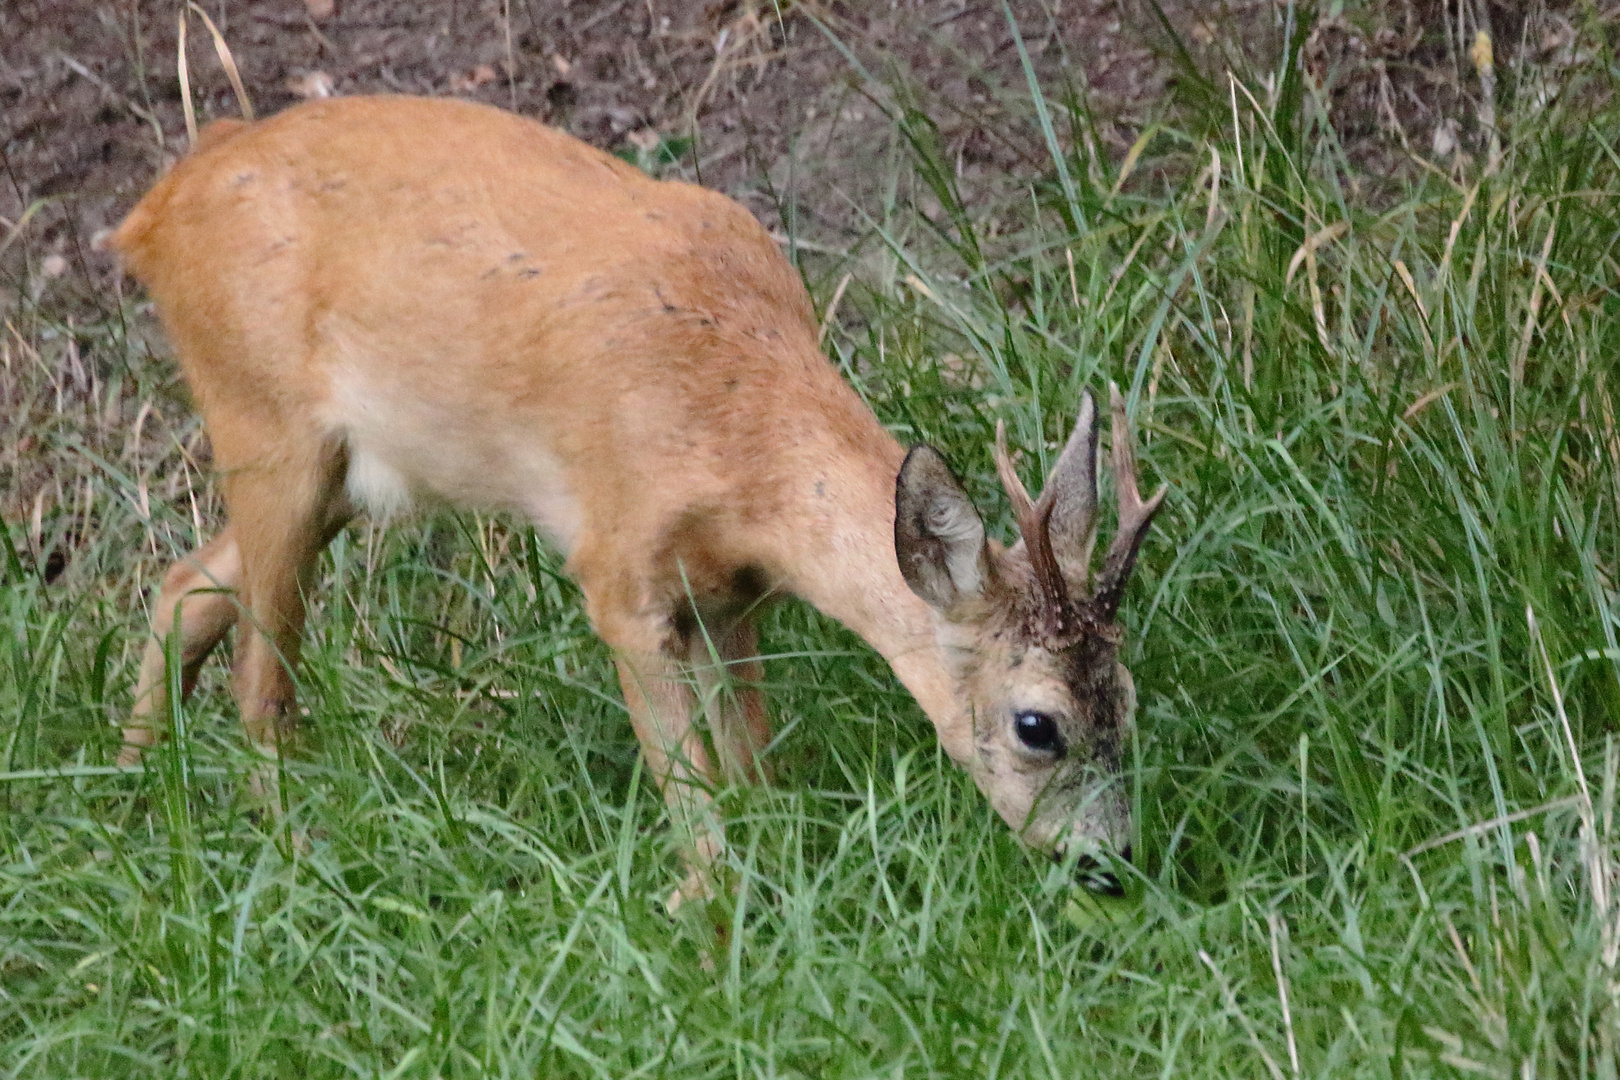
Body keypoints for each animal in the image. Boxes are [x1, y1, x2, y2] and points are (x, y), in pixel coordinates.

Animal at [114, 97, 1166, 906]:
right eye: (1037, 725)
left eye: (1127, 696)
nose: (1110, 866)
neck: (735, 426)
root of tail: (155, 211)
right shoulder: (618, 574)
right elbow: (694, 795)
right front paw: (702, 922)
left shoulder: (732, 594)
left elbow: (753, 773)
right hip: (263, 420)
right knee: (261, 679)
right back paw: (287, 856)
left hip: (346, 475)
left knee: (187, 588)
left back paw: (133, 796)